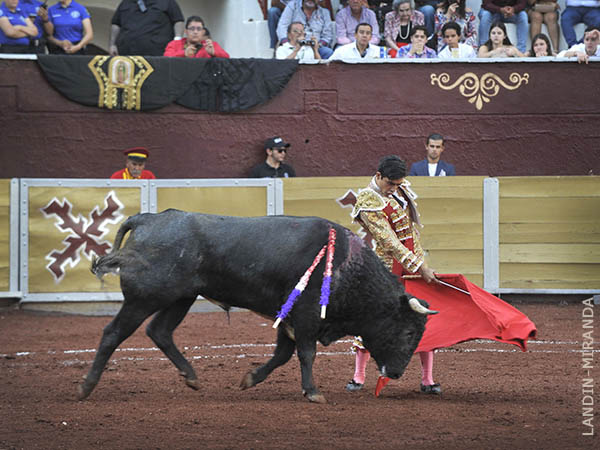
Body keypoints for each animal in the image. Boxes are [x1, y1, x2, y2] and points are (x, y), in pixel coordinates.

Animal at [82, 209, 434, 402]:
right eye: (408, 333)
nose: (397, 373)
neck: (347, 266)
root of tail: (148, 220)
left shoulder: (289, 317)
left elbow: (282, 355)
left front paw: (250, 378)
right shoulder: (305, 316)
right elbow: (306, 353)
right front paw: (313, 392)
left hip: (181, 298)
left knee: (160, 331)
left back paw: (191, 376)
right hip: (144, 299)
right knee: (113, 333)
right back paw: (87, 387)